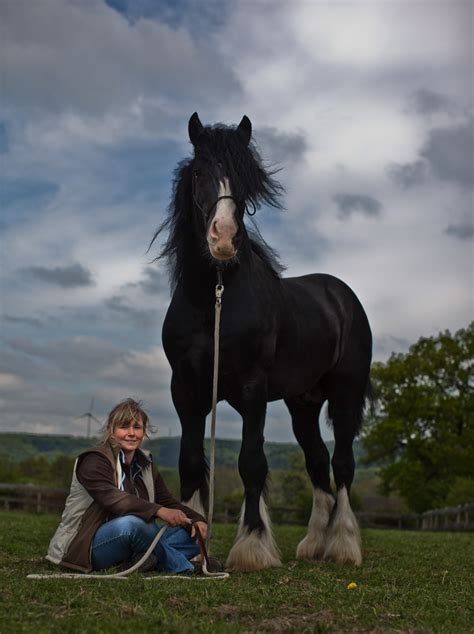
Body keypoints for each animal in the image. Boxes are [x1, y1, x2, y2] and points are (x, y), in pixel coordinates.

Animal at [154, 112, 372, 568]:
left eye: (245, 178)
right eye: (198, 173)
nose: (223, 239)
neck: (214, 300)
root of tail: (341, 296)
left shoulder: (253, 391)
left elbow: (251, 462)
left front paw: (253, 546)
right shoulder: (186, 390)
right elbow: (190, 462)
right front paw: (189, 546)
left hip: (345, 394)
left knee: (342, 464)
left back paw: (343, 545)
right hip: (303, 404)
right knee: (317, 462)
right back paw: (313, 544)